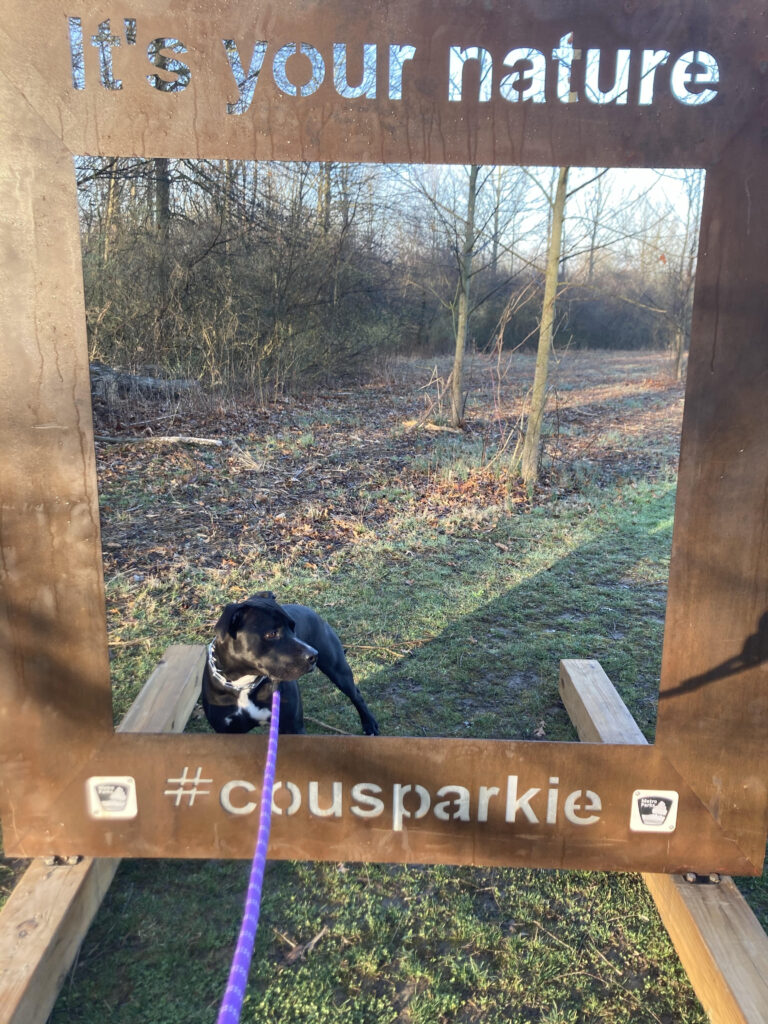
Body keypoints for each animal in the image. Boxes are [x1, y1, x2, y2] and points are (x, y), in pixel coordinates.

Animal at [201, 591, 380, 735]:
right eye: (271, 634)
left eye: (293, 627)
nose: (313, 655)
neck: (244, 684)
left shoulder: (293, 727)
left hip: (337, 669)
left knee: (356, 694)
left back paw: (369, 724)